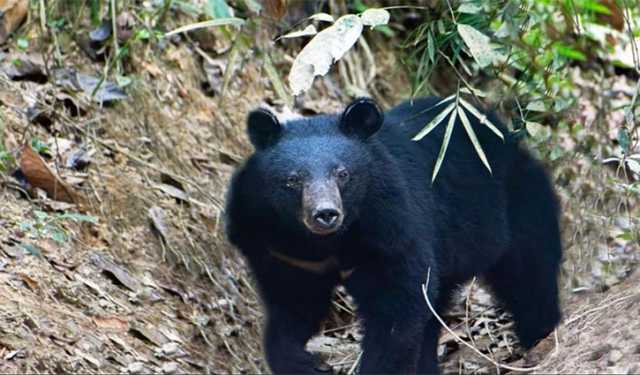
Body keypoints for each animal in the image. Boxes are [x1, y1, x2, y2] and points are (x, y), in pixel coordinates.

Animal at [224, 97, 560, 375]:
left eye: (343, 174)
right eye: (293, 180)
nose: (325, 214)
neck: (328, 243)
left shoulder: (392, 230)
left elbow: (397, 310)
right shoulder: (282, 250)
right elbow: (294, 306)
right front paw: (308, 364)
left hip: (518, 207)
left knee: (530, 278)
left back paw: (543, 338)